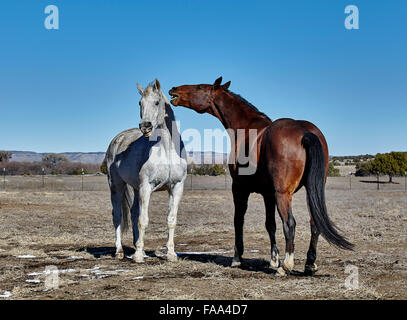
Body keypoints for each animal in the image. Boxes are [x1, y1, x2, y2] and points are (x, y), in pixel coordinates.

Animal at [104, 80, 189, 262]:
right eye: (140, 103)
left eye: (157, 102)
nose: (145, 126)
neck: (167, 150)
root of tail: (117, 139)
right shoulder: (146, 187)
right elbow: (143, 220)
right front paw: (137, 256)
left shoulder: (176, 187)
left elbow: (171, 220)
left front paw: (171, 254)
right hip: (116, 186)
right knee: (118, 216)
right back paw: (119, 251)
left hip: (135, 189)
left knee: (133, 212)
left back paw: (139, 249)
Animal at [169, 77, 354, 276]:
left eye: (199, 87)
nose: (174, 89)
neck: (246, 127)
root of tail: (305, 132)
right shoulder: (268, 194)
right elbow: (270, 224)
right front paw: (273, 258)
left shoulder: (239, 189)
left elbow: (238, 220)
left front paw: (237, 258)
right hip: (309, 191)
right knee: (314, 222)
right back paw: (309, 263)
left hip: (283, 194)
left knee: (290, 223)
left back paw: (286, 266)